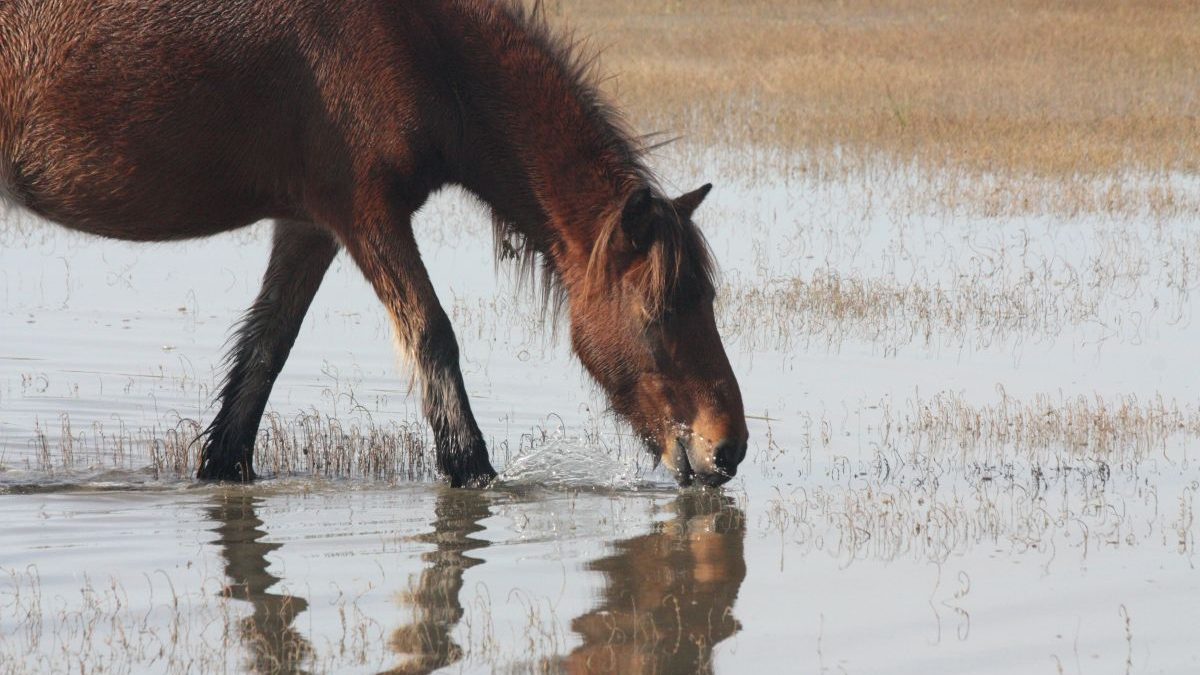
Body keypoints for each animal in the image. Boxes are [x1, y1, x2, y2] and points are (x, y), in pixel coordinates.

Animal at [0, 0, 748, 487]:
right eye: (661, 311)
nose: (729, 448)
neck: (420, 41)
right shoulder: (365, 213)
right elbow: (432, 335)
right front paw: (474, 473)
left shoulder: (310, 227)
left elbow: (264, 353)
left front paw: (224, 470)